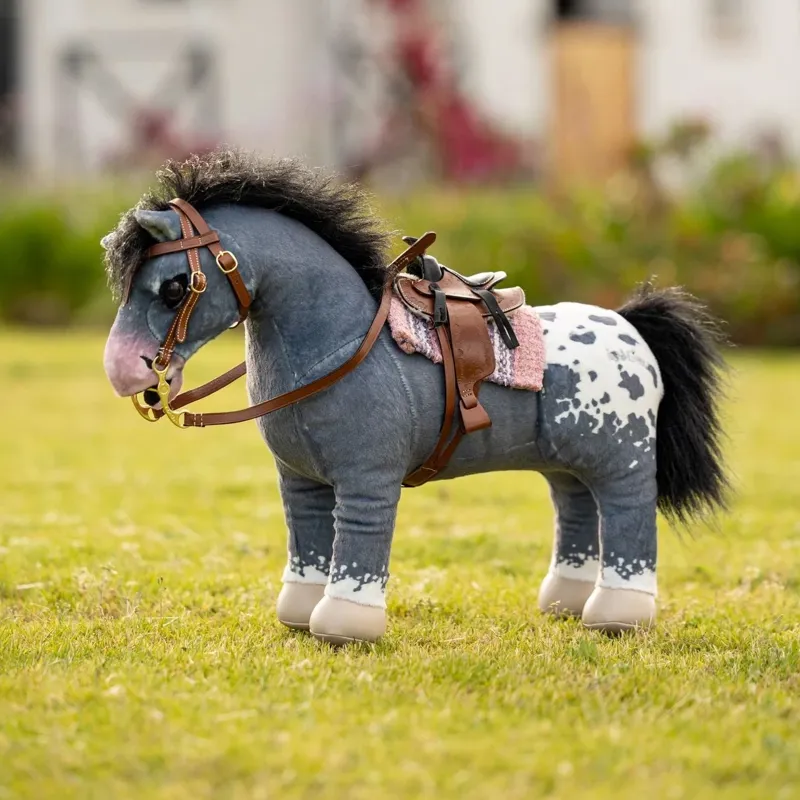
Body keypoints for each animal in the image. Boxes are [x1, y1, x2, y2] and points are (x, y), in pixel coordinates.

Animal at [103, 150, 729, 645]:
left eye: (175, 287)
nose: (122, 370)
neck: (342, 343)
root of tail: (629, 326)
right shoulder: (300, 483)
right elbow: (308, 541)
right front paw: (301, 614)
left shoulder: (367, 481)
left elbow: (358, 544)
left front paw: (345, 625)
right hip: (568, 464)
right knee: (577, 508)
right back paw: (567, 603)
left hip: (622, 461)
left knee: (629, 514)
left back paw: (618, 615)